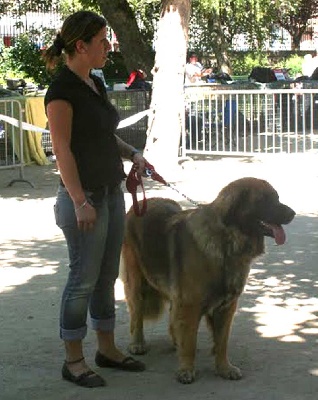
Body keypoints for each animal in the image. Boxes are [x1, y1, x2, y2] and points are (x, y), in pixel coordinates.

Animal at [121, 178, 296, 384]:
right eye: (264, 200)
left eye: (276, 197)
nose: (292, 214)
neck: (227, 242)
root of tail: (141, 203)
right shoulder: (190, 304)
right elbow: (190, 341)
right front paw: (187, 369)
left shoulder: (226, 306)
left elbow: (222, 342)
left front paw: (224, 368)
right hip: (137, 282)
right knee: (136, 314)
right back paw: (138, 343)